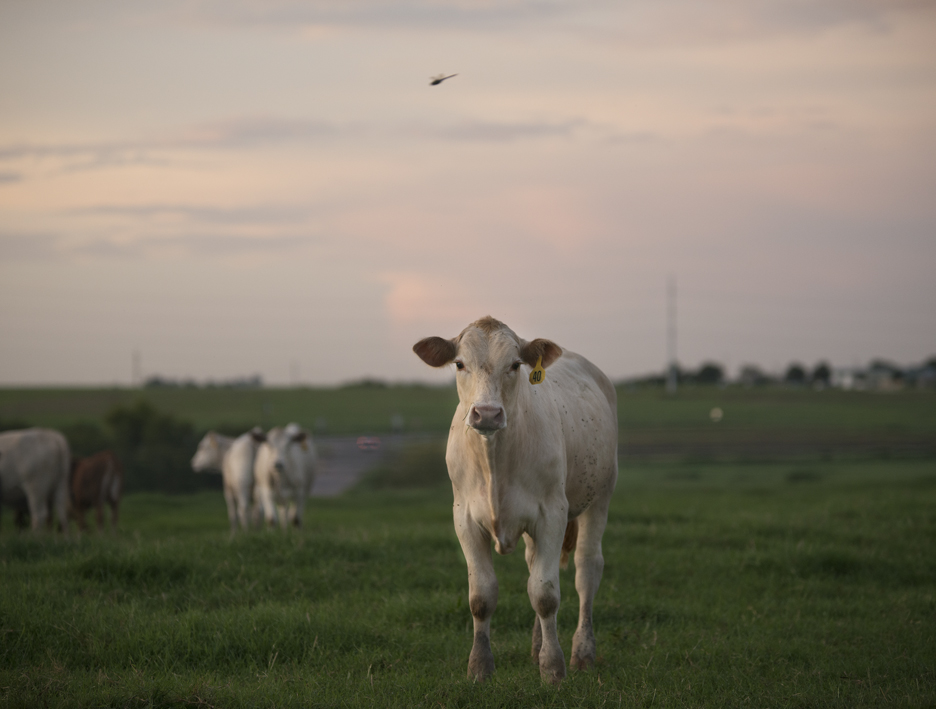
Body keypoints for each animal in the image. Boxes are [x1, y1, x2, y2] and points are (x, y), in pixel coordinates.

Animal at [413, 316, 618, 684]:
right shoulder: (465, 518)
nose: (486, 414)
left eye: (515, 365)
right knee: (533, 565)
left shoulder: (553, 514)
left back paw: (583, 652)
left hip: (600, 496)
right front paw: (480, 667)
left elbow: (545, 594)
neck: (495, 457)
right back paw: (537, 647)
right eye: (460, 364)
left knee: (586, 570)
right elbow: (482, 596)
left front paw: (553, 669)